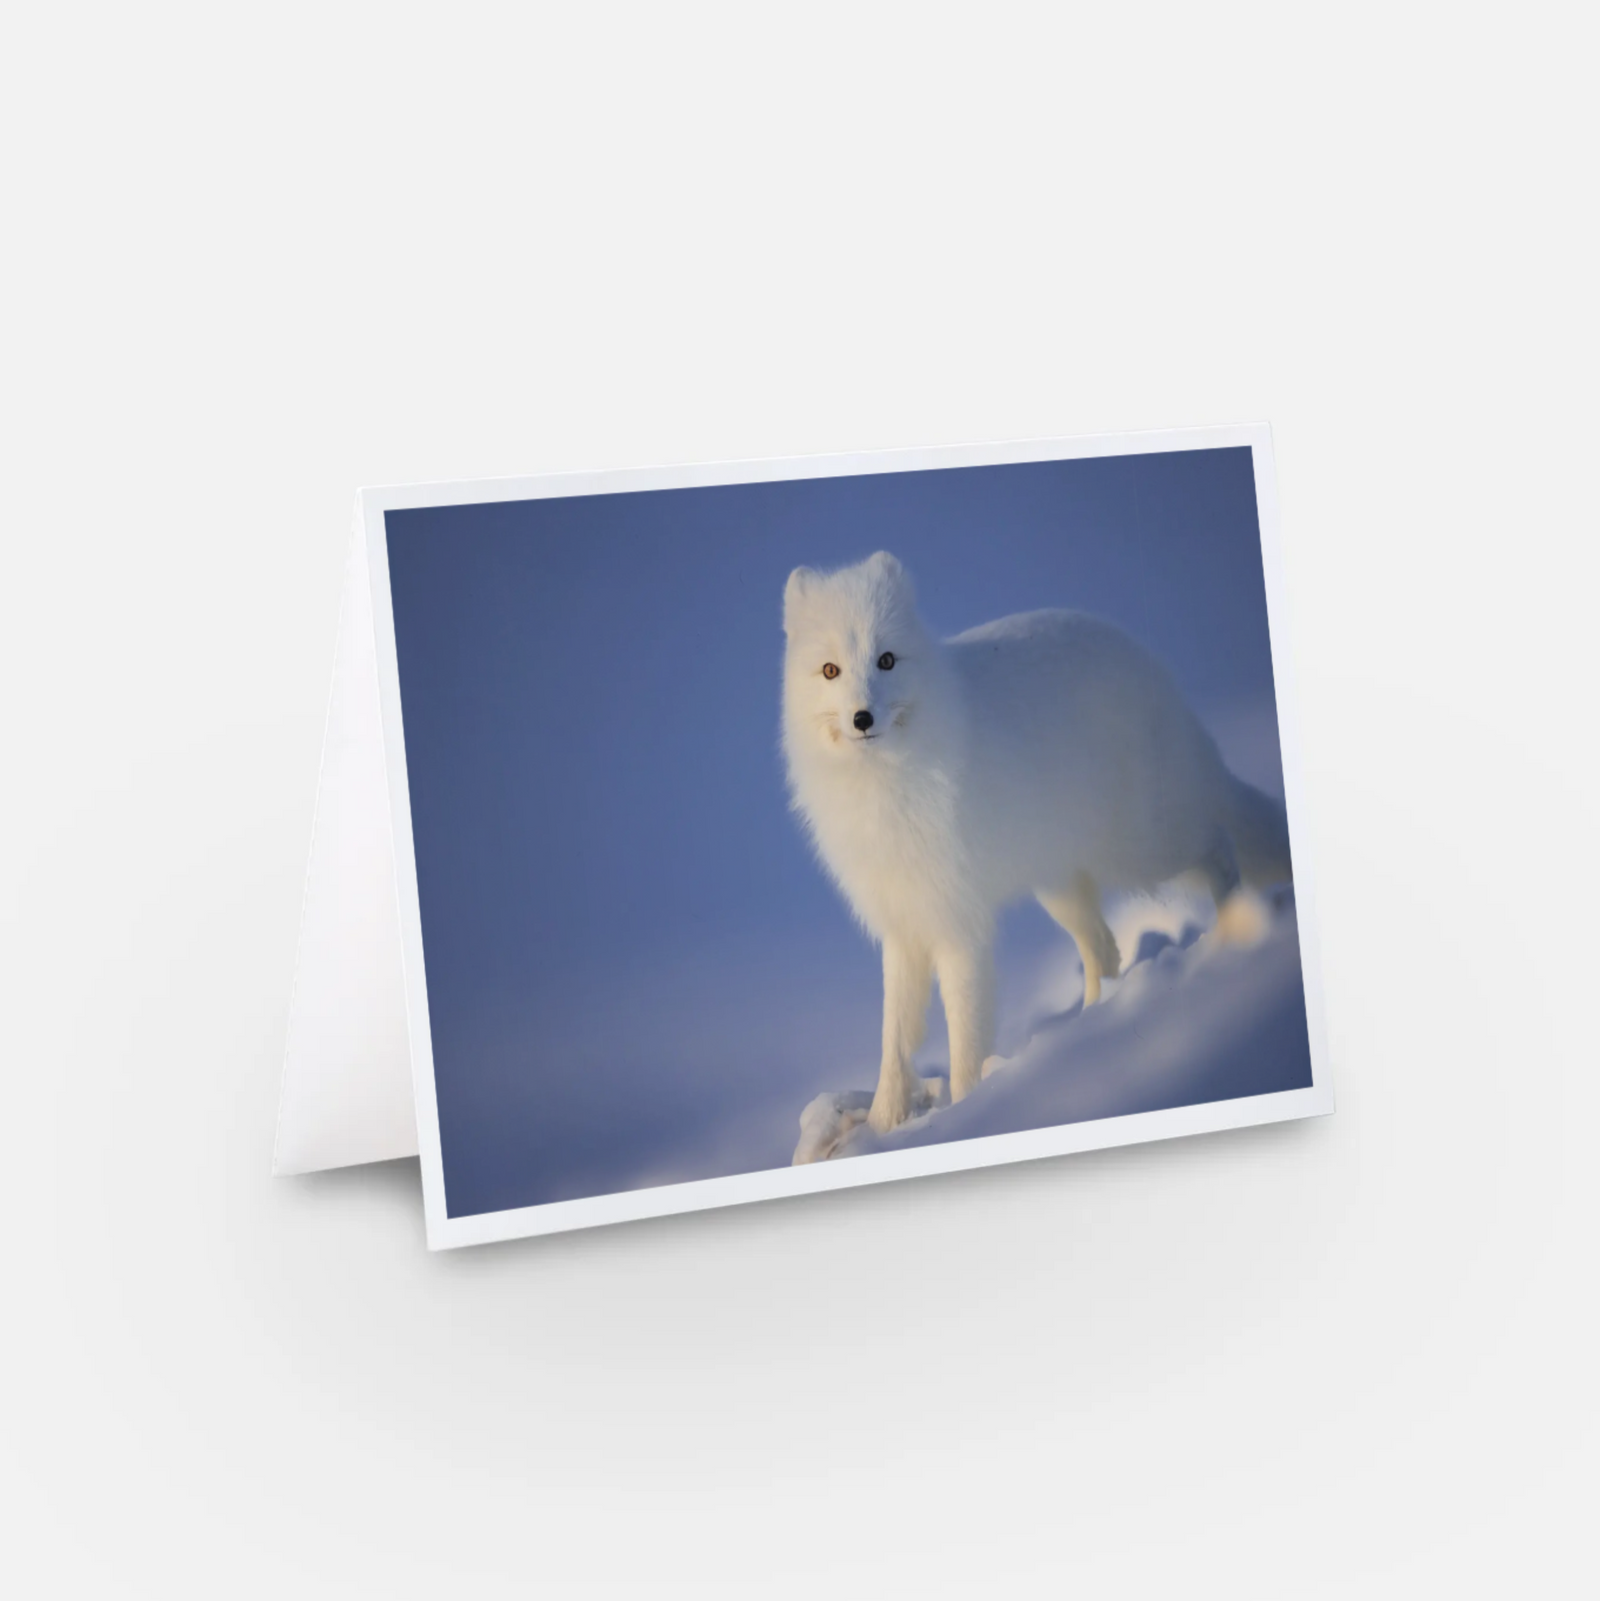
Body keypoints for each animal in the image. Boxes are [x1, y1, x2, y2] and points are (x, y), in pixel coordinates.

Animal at [781, 550, 1293, 1134]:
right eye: (830, 670)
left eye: (886, 660)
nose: (862, 717)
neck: (886, 784)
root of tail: (1151, 666)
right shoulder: (903, 921)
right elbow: (896, 1037)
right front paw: (887, 1124)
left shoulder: (959, 924)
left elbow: (964, 1034)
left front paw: (968, 1113)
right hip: (1061, 886)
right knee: (1104, 949)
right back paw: (1091, 1027)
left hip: (1144, 845)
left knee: (1219, 844)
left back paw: (1234, 929)